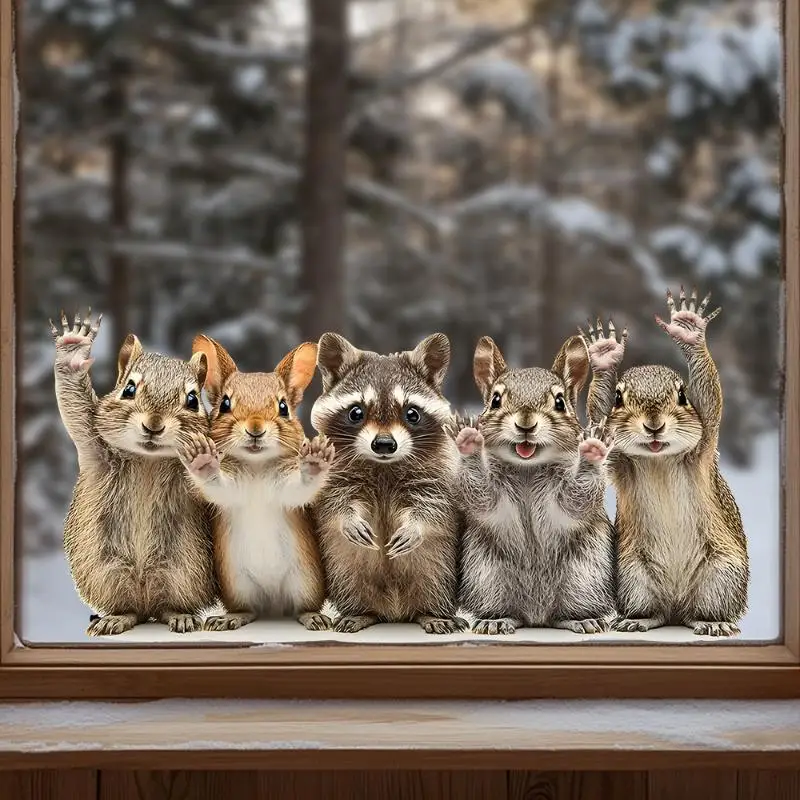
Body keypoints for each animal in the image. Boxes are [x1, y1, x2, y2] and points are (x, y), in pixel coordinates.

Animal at [50, 310, 216, 636]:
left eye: (193, 400)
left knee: (168, 605)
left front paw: (202, 457)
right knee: (129, 608)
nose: (153, 425)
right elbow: (76, 411)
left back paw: (180, 615)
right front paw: (73, 348)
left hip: (183, 572)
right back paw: (117, 618)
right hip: (107, 573)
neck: (148, 460)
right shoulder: (95, 447)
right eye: (128, 388)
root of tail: (145, 597)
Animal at [178, 335, 333, 632]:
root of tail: (273, 605)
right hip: (237, 585)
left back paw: (313, 616)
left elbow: (301, 487)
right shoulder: (231, 490)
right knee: (248, 609)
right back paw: (231, 618)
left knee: (303, 607)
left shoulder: (286, 491)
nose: (255, 428)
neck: (257, 466)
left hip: (305, 581)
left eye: (284, 407)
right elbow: (216, 484)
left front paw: (314, 459)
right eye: (225, 404)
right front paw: (202, 459)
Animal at [309, 332, 468, 634]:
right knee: (349, 579)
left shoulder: (438, 475)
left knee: (435, 579)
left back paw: (431, 613)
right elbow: (335, 503)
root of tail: (394, 612)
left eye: (412, 414)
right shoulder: (333, 475)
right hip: (343, 569)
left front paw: (415, 526)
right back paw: (361, 612)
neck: (383, 466)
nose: (384, 444)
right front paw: (348, 518)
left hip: (439, 568)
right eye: (356, 412)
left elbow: (433, 507)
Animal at [450, 334, 616, 635]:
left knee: (566, 610)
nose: (525, 423)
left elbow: (577, 500)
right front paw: (468, 440)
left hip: (586, 576)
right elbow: (481, 494)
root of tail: (536, 616)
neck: (527, 469)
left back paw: (581, 619)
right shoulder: (491, 494)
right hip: (486, 577)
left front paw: (593, 449)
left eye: (560, 402)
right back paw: (497, 620)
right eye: (495, 400)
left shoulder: (568, 495)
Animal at [583, 287, 749, 637]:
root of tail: (677, 605)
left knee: (700, 611)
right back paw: (638, 619)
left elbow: (711, 401)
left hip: (722, 575)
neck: (659, 459)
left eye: (683, 395)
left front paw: (689, 330)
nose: (654, 425)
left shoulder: (704, 444)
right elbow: (597, 418)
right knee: (656, 611)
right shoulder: (620, 462)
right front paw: (604, 358)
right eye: (618, 398)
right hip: (633, 576)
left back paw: (711, 622)